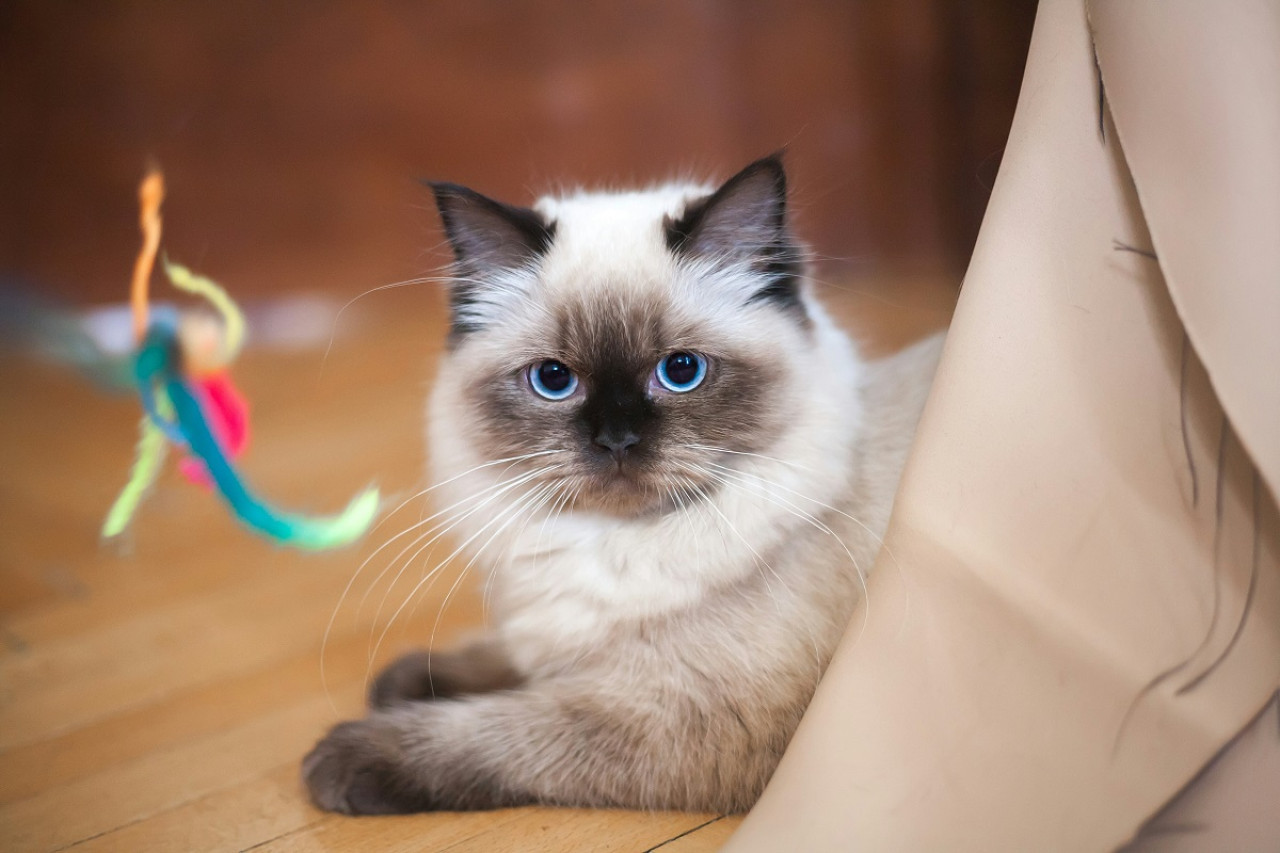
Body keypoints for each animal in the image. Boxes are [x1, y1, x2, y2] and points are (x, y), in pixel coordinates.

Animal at [299, 156, 942, 814]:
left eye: (681, 371)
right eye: (553, 379)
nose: (615, 440)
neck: (607, 542)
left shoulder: (686, 711)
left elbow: (501, 727)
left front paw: (344, 757)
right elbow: (505, 656)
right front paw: (402, 681)